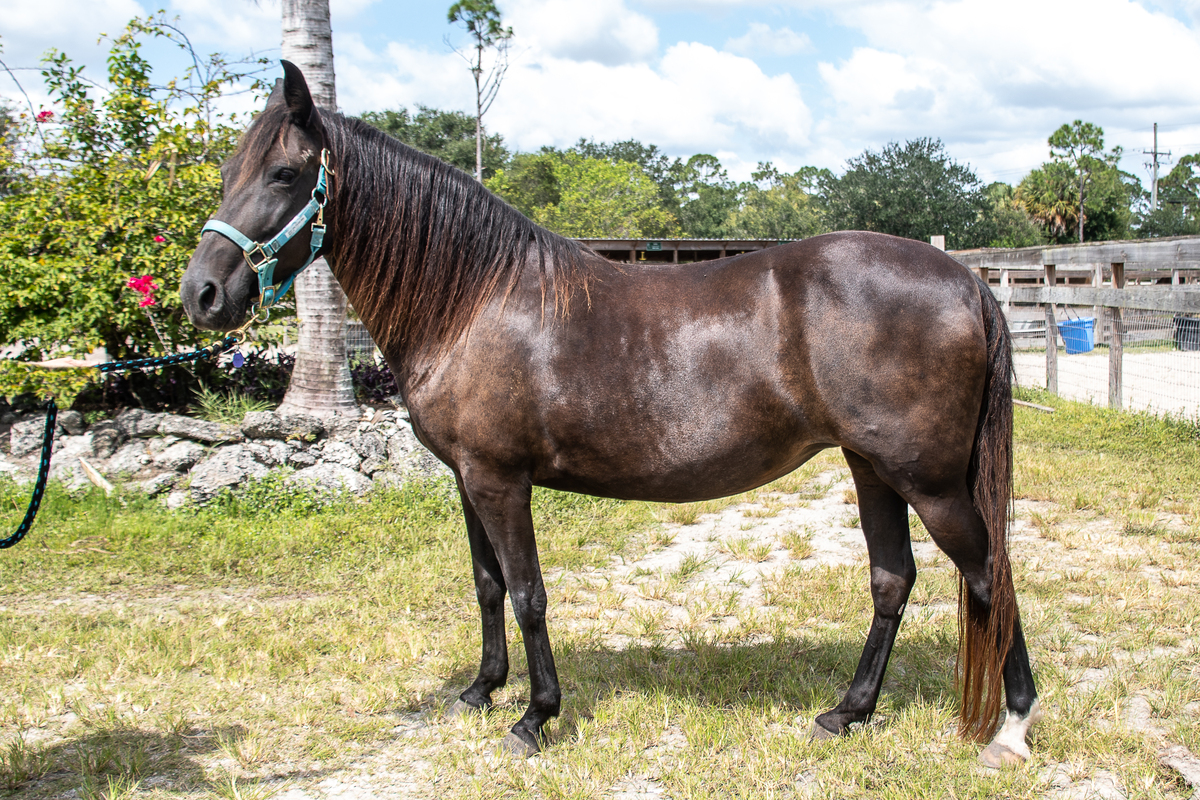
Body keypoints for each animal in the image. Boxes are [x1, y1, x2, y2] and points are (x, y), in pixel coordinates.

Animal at [180, 61, 1040, 767]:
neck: (473, 300)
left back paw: (1012, 725)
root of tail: (966, 279)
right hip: (873, 468)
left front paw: (534, 717)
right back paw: (847, 712)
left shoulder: (500, 480)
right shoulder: (466, 478)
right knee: (893, 579)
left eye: (285, 172)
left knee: (988, 571)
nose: (202, 295)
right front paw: (479, 690)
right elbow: (486, 584)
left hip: (929, 480)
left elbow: (527, 592)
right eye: (226, 171)